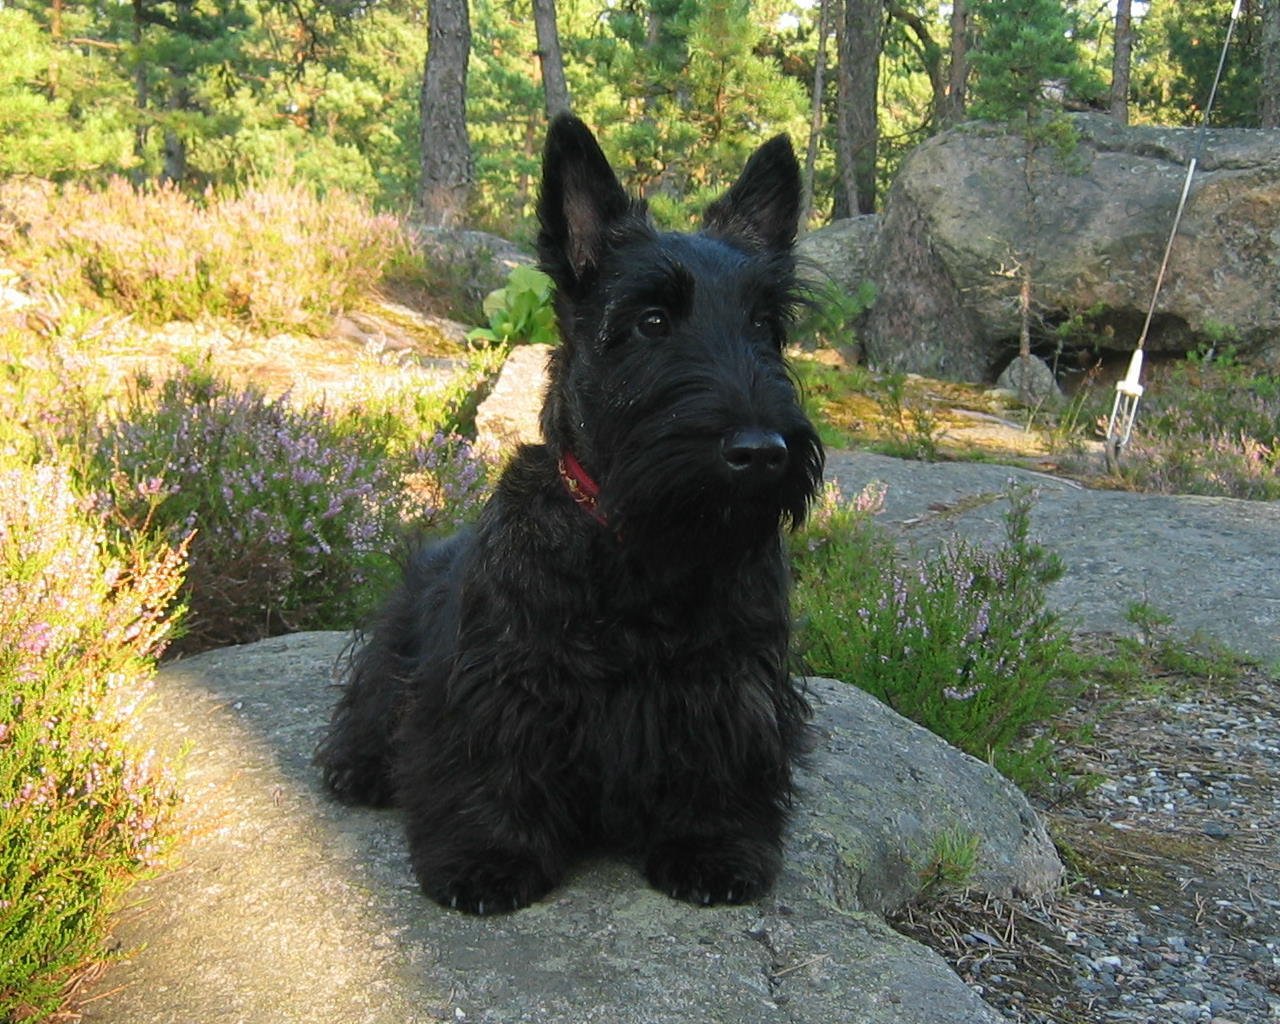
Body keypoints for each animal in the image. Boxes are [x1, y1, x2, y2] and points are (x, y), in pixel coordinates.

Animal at [314, 115, 824, 916]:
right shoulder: (498, 681)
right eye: (652, 320)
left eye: (765, 325)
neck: (644, 546)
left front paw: (713, 844)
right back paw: (357, 768)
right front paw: (489, 855)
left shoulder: (734, 683)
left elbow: (721, 765)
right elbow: (490, 763)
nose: (762, 453)